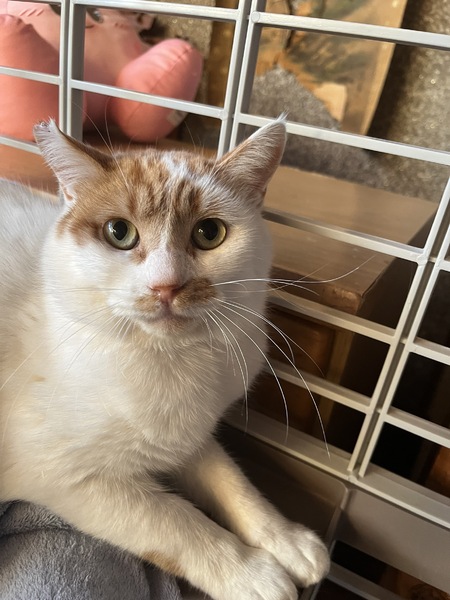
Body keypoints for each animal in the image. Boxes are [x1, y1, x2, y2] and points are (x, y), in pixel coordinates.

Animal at [0, 118, 329, 600]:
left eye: (209, 233)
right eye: (119, 233)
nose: (166, 286)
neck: (166, 359)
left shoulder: (190, 435)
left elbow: (231, 481)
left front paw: (285, 539)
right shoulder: (66, 477)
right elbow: (176, 522)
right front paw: (252, 574)